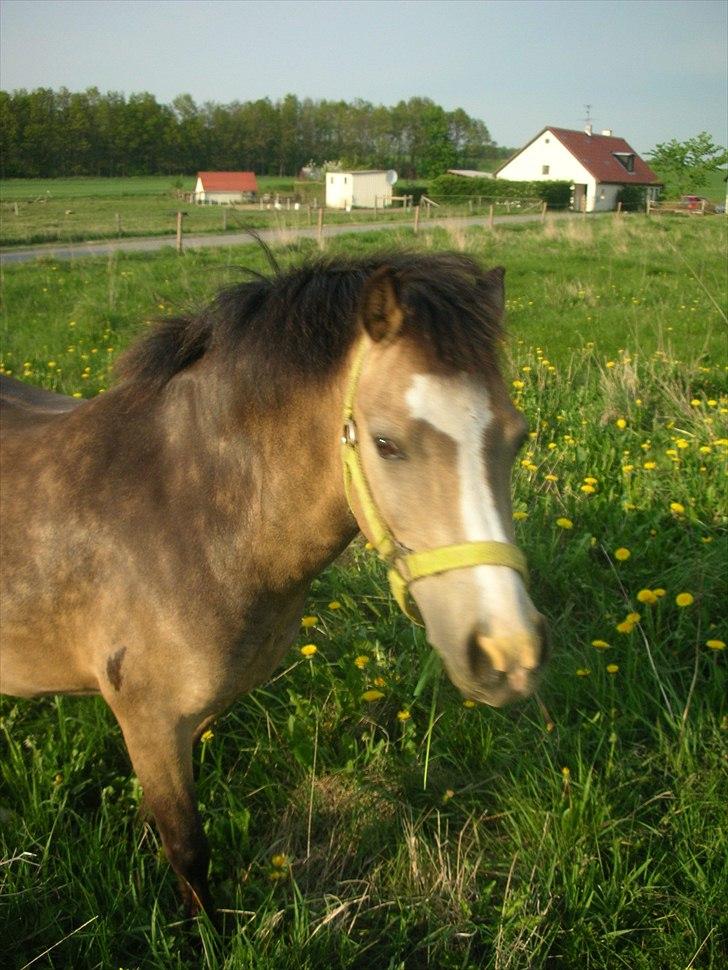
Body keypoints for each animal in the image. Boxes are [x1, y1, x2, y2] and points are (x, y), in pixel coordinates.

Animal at [0, 250, 546, 917]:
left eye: (517, 437)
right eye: (386, 443)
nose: (508, 653)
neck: (188, 512)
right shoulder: (151, 722)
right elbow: (188, 848)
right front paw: (206, 930)